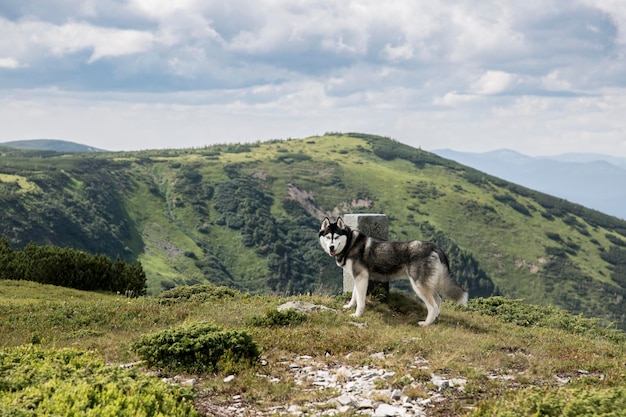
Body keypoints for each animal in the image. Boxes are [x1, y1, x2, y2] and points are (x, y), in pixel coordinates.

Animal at [320, 218, 466, 324]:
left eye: (336, 237)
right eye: (328, 237)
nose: (331, 247)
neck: (350, 243)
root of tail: (434, 246)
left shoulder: (361, 276)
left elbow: (360, 301)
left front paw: (357, 315)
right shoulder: (358, 277)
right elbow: (354, 296)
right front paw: (349, 306)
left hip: (418, 285)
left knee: (433, 305)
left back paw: (426, 324)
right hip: (428, 282)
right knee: (438, 300)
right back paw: (435, 320)